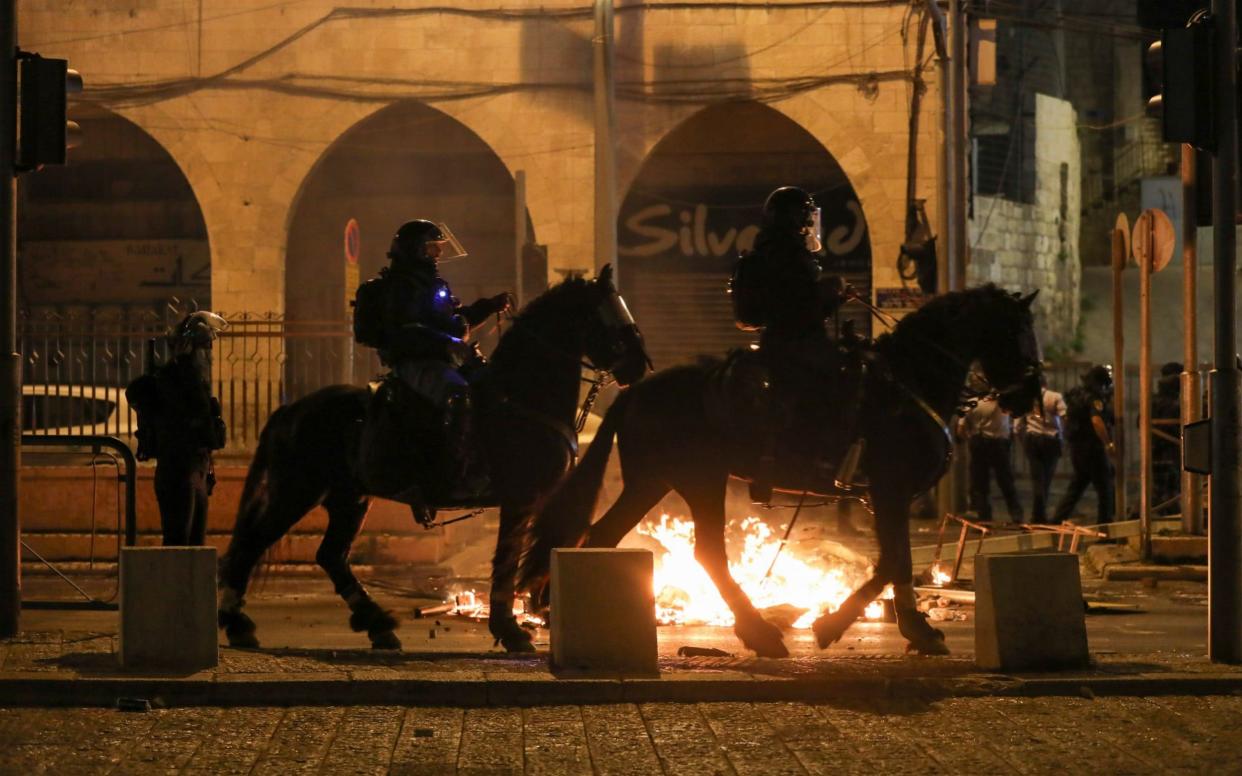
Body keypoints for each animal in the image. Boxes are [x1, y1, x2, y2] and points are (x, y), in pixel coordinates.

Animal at [217, 263, 650, 650]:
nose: (640, 366)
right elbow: (506, 561)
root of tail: (290, 409)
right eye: (610, 314)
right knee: (252, 544)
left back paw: (377, 625)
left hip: (349, 499)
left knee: (330, 556)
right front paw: (510, 632)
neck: (520, 396)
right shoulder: (519, 500)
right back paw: (238, 624)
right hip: (298, 491)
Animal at [519, 288, 1043, 655]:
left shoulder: (885, 498)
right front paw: (835, 625)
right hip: (700, 481)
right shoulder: (889, 492)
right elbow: (893, 562)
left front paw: (916, 629)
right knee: (708, 553)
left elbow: (897, 565)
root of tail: (635, 391)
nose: (1029, 396)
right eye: (1020, 332)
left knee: (602, 536)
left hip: (652, 483)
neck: (910, 381)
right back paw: (759, 632)